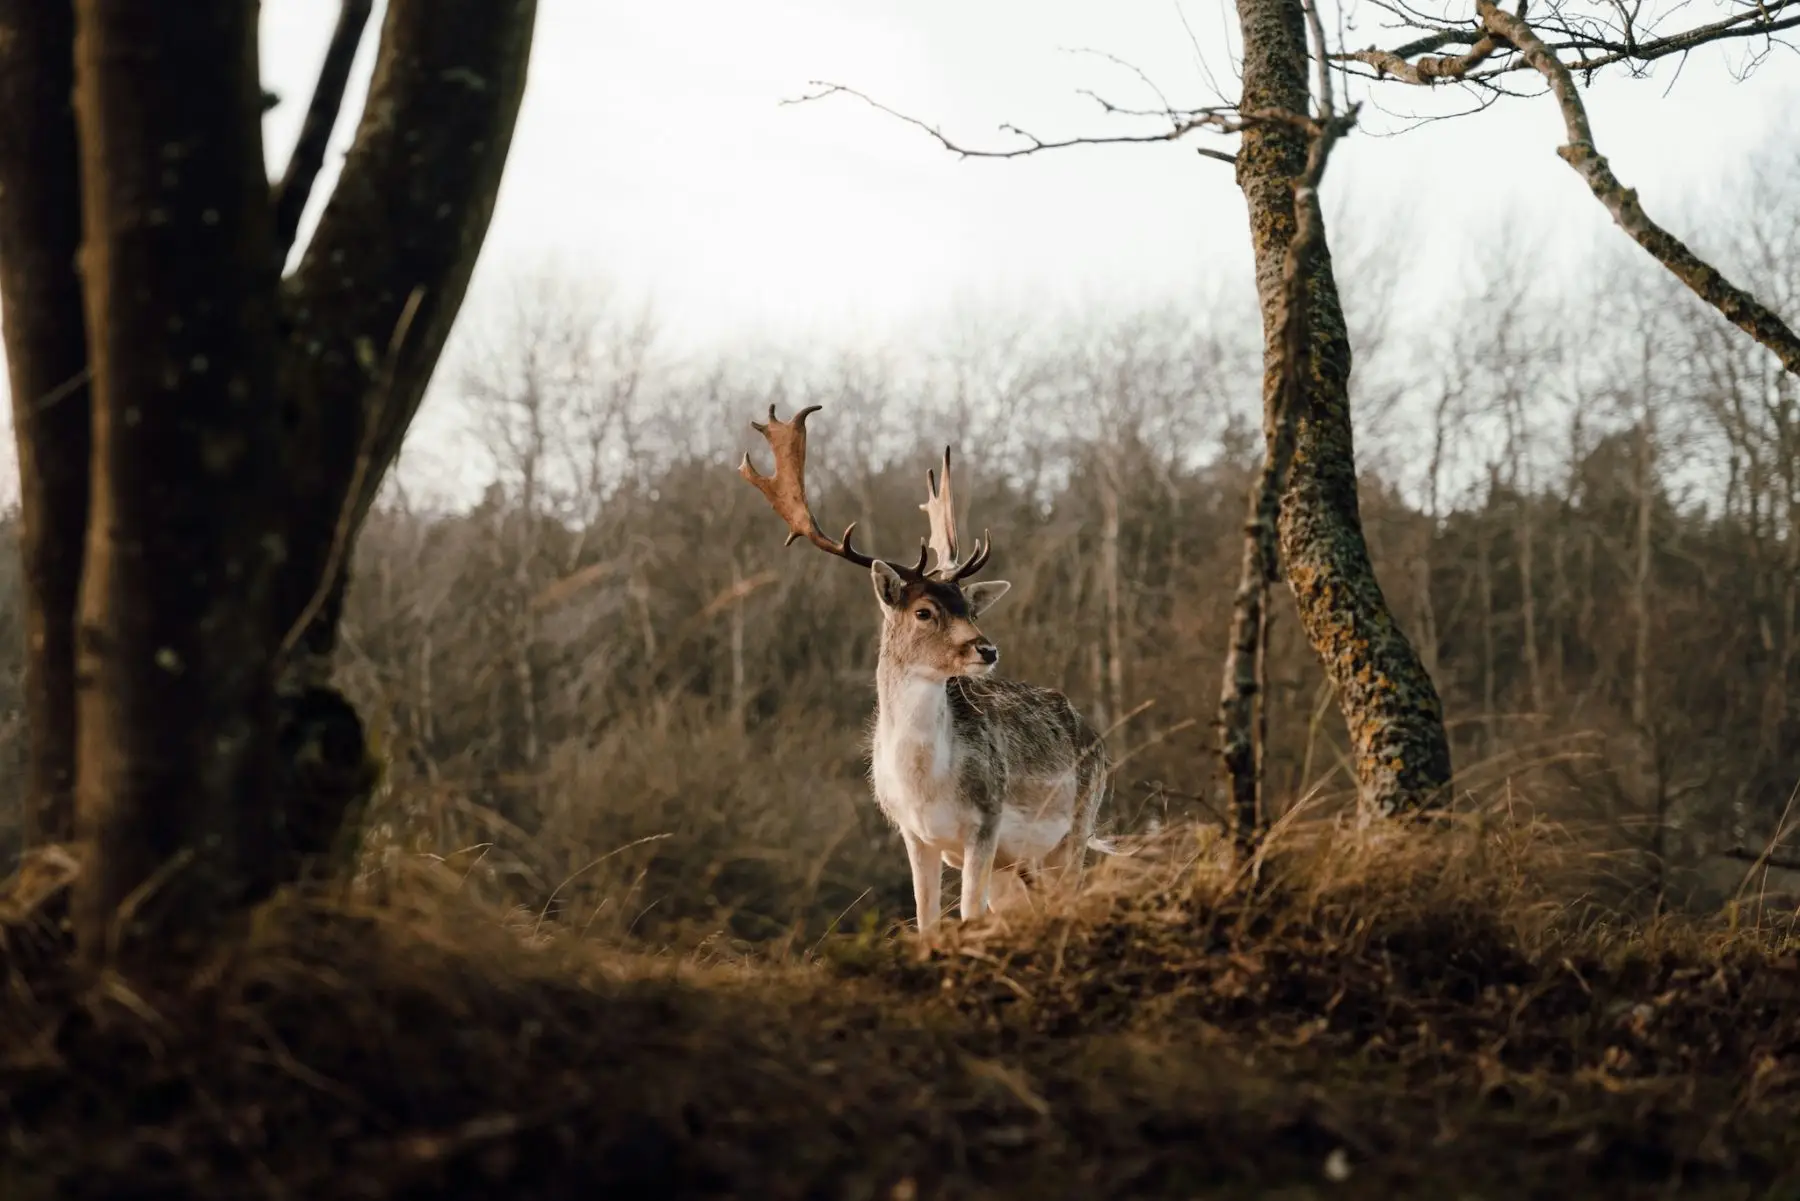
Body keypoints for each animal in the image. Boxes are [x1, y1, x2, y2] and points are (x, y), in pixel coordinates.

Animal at [734, 406, 1108, 936]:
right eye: (924, 611)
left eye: (968, 608)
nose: (987, 650)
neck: (927, 788)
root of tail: (1096, 735)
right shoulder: (915, 836)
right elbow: (925, 922)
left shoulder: (986, 822)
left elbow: (968, 914)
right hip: (1022, 864)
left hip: (1076, 827)